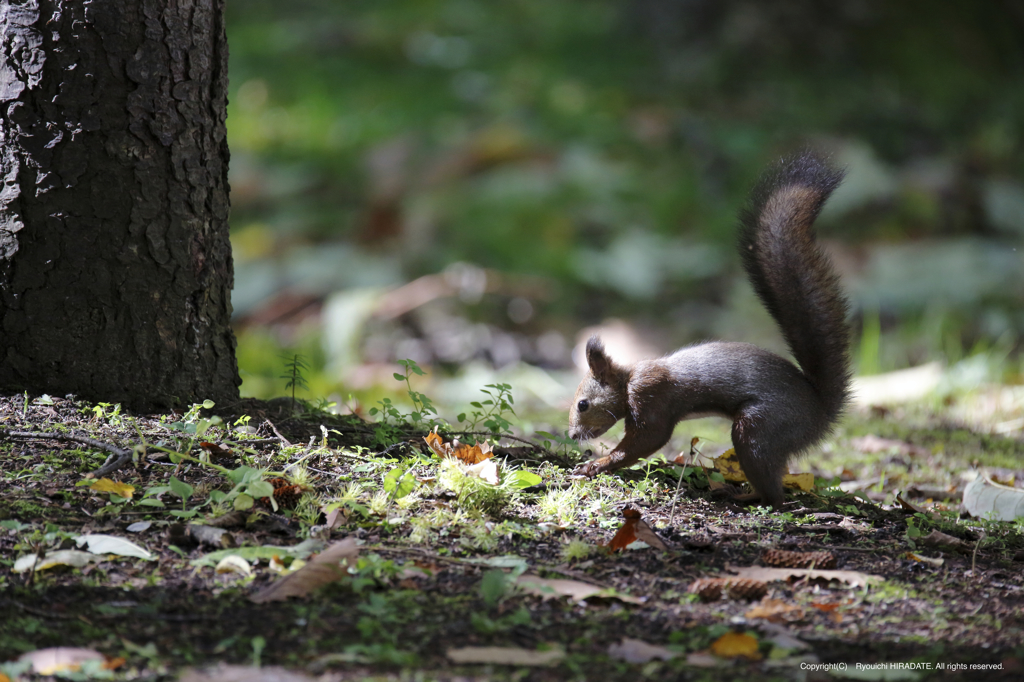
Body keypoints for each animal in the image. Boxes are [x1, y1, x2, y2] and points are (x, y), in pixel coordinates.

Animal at [569, 152, 847, 503]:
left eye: (583, 404)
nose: (572, 434)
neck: (628, 380)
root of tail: (821, 411)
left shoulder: (650, 396)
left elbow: (649, 439)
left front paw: (596, 465)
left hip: (761, 427)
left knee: (774, 493)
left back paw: (744, 497)